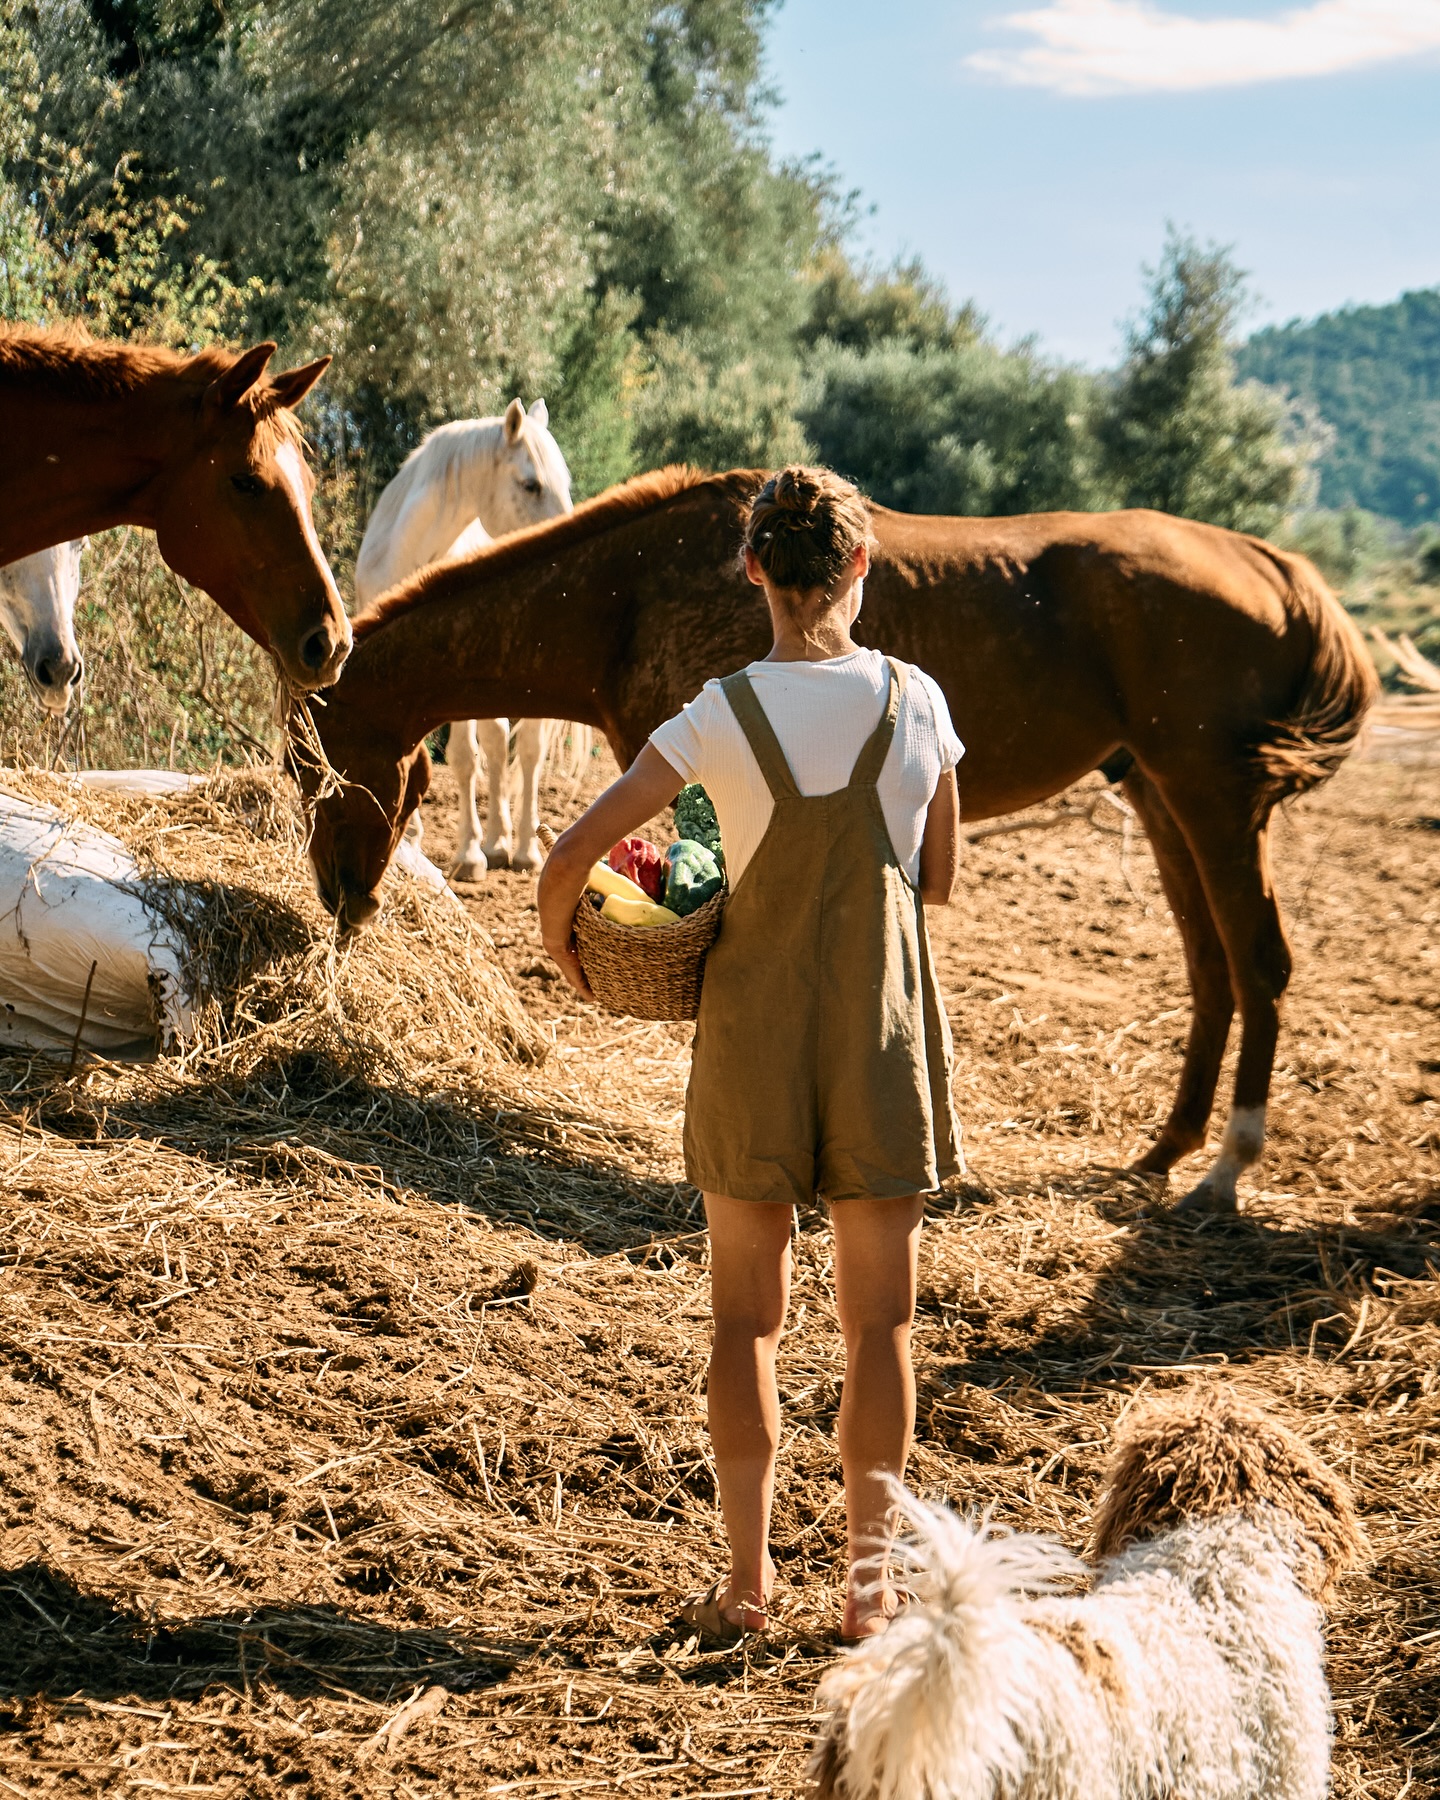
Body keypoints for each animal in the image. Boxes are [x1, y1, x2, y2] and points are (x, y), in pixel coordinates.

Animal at [289, 464, 1375, 1209]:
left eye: (308, 766)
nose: (339, 893)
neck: (626, 596)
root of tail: (1270, 562)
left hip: (1208, 796)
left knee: (1259, 962)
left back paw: (1225, 1169)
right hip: (1159, 795)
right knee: (1212, 969)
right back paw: (1167, 1149)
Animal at [354, 401, 572, 878]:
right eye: (531, 484)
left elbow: (464, 756)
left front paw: (469, 854)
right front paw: (410, 838)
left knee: (527, 750)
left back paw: (522, 849)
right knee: (498, 741)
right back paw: (498, 842)